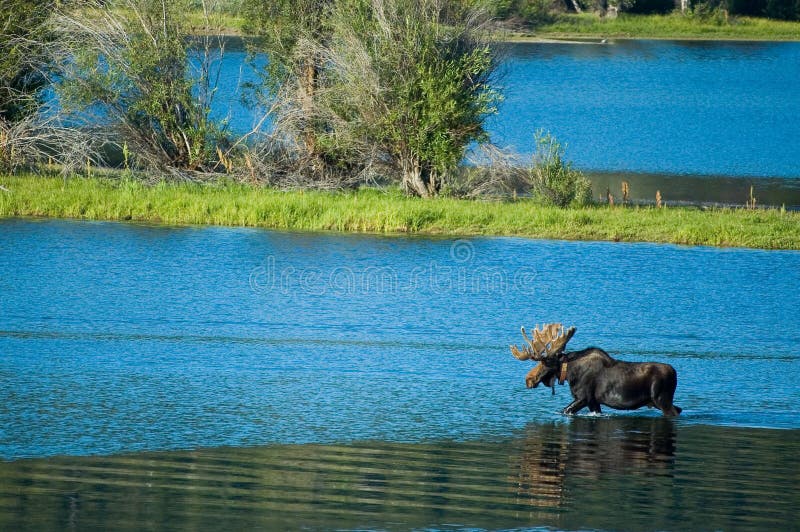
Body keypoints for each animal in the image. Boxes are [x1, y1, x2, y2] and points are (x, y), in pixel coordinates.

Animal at [512, 322, 680, 418]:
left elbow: (564, 411)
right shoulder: (594, 402)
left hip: (662, 400)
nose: (528, 379)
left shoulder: (583, 397)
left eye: (545, 361)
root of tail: (675, 373)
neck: (570, 374)